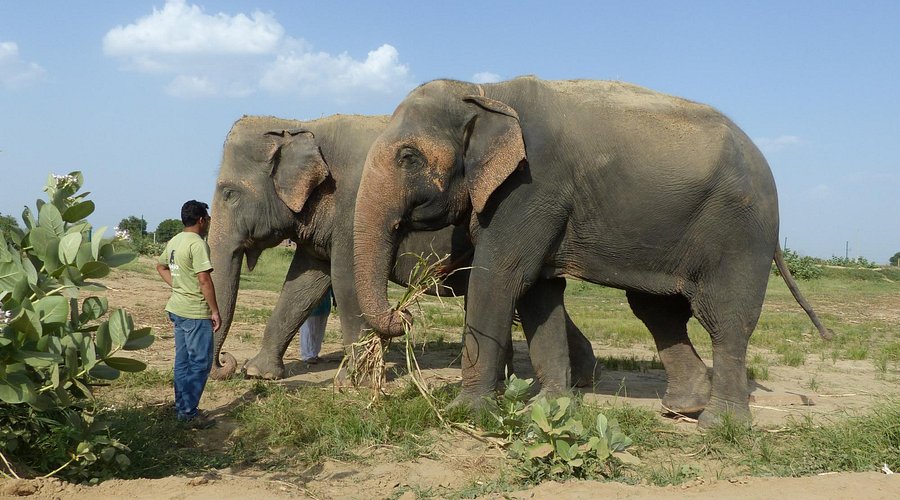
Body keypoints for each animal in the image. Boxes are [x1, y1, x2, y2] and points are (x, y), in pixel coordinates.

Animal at [205, 114, 597, 390]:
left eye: (229, 193)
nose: (226, 363)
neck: (303, 125)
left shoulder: (350, 209)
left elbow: (345, 283)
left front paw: (354, 383)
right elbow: (302, 286)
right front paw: (260, 374)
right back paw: (581, 378)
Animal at [352, 77, 831, 427]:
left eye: (408, 156)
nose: (404, 316)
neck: (486, 92)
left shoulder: (531, 186)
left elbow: (500, 277)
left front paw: (465, 413)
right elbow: (539, 293)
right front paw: (551, 406)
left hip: (740, 232)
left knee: (726, 318)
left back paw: (719, 425)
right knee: (657, 311)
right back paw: (681, 409)